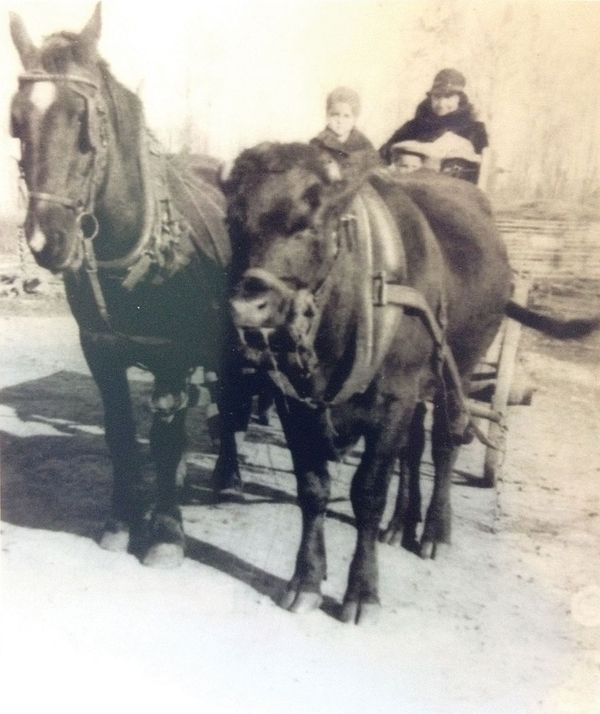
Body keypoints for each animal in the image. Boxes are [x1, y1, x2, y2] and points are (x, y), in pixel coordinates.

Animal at [8, 2, 240, 564]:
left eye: (83, 121)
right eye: (17, 121)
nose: (46, 239)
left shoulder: (174, 353)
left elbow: (167, 437)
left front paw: (167, 531)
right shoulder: (101, 350)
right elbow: (120, 432)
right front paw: (121, 520)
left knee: (226, 401)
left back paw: (224, 473)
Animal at [221, 142, 600, 620]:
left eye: (309, 225)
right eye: (233, 222)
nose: (247, 308)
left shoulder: (392, 400)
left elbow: (368, 492)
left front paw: (362, 591)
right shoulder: (294, 403)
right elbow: (313, 488)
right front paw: (305, 581)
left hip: (458, 371)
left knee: (443, 444)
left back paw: (435, 531)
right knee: (412, 448)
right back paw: (401, 523)